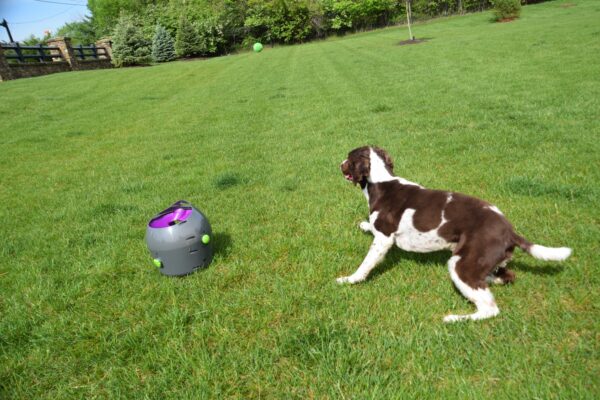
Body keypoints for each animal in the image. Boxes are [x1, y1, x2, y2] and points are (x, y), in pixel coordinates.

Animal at [338, 146, 572, 322]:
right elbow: (369, 226)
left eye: (349, 158)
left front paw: (350, 279)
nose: (339, 164)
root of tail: (510, 231)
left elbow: (366, 264)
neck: (381, 182)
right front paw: (364, 225)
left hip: (462, 263)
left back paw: (455, 318)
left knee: (489, 308)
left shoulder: (384, 239)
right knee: (505, 277)